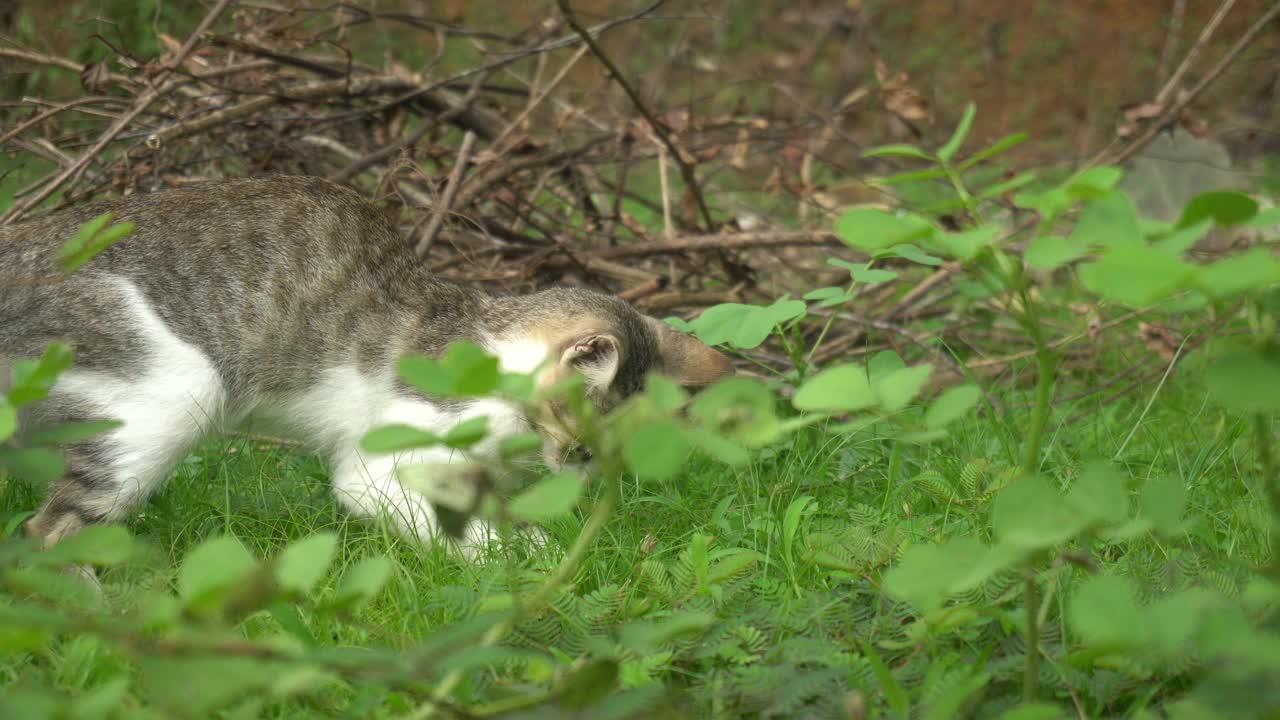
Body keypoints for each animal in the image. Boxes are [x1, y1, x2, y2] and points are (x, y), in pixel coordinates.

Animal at [0, 176, 732, 558]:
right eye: (580, 441)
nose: (579, 473)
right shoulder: (387, 461)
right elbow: (452, 523)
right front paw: (520, 561)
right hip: (173, 394)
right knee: (48, 532)